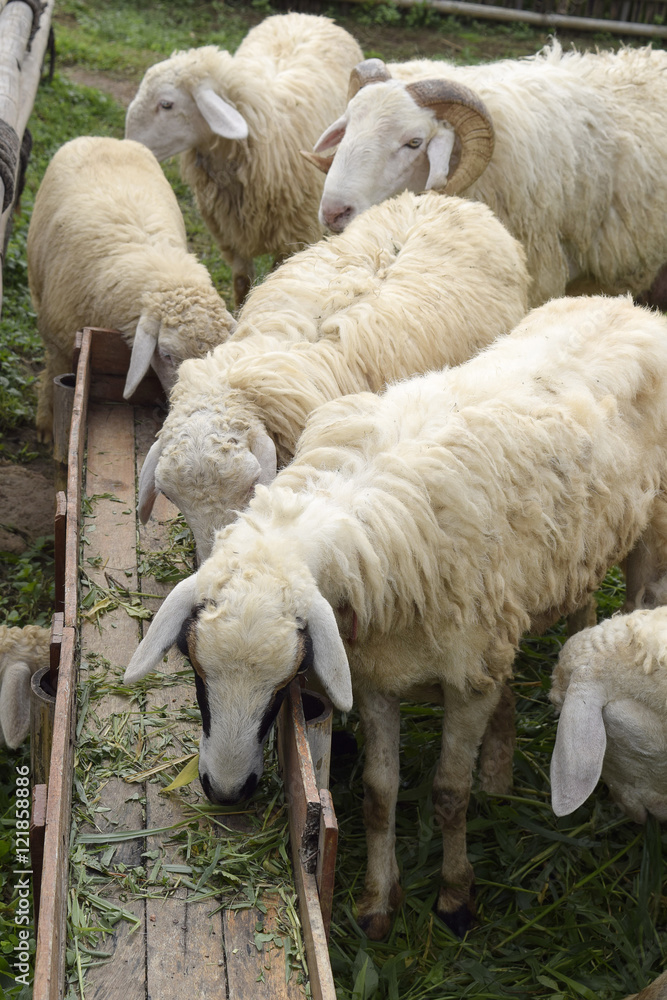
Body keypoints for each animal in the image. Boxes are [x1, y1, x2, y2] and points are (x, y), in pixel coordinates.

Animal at [27, 135, 236, 443]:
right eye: (167, 356)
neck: (165, 274)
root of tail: (106, 138)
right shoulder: (59, 341)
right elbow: (54, 373)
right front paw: (46, 423)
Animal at [124, 13, 364, 307]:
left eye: (167, 104)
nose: (128, 145)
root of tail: (307, 15)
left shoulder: (294, 238)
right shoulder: (231, 235)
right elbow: (241, 284)